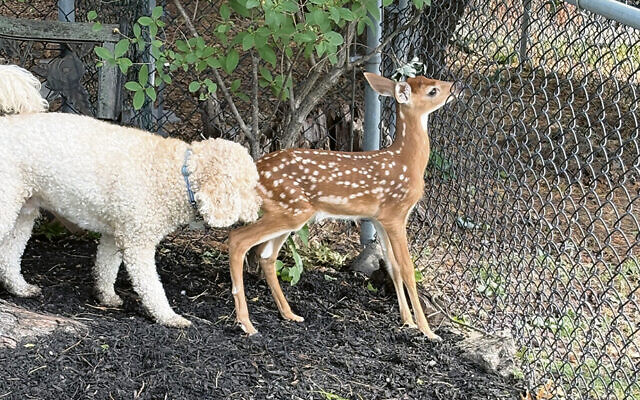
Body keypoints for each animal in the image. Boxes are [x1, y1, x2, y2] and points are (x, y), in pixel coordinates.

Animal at [228, 72, 462, 340]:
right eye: (433, 91)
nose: (458, 86)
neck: (406, 162)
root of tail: (253, 169)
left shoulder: (380, 218)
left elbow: (392, 266)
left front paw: (408, 322)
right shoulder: (396, 213)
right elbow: (407, 268)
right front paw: (428, 331)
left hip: (288, 211)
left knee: (266, 256)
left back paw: (290, 314)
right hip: (292, 209)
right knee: (238, 240)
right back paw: (246, 323)